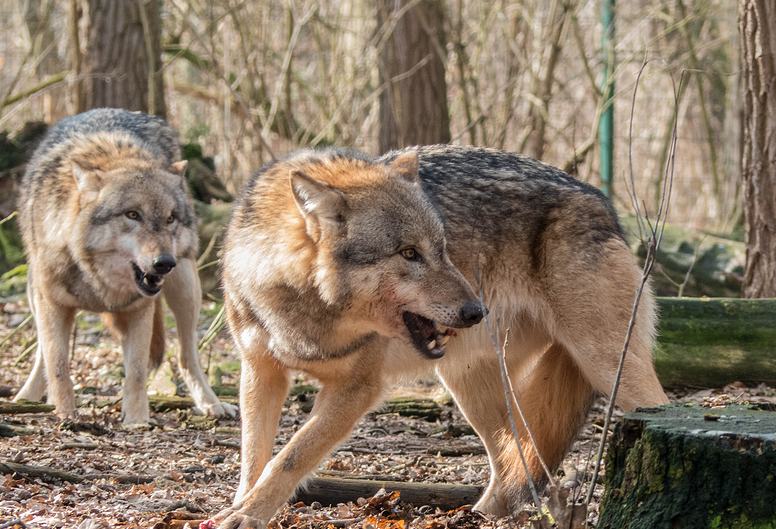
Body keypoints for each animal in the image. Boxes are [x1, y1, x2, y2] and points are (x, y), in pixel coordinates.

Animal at [12, 108, 236, 424]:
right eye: (132, 215)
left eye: (170, 218)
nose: (164, 263)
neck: (98, 281)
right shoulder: (52, 305)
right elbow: (58, 365)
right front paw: (67, 414)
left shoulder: (139, 309)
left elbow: (138, 372)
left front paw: (137, 421)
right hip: (34, 294)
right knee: (43, 354)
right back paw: (27, 398)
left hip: (186, 288)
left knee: (186, 355)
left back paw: (211, 403)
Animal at [211, 145, 668, 528]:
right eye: (409, 253)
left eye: (443, 248)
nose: (476, 311)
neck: (305, 310)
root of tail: (601, 202)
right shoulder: (260, 373)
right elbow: (254, 457)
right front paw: (240, 505)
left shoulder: (357, 388)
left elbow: (291, 456)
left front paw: (247, 514)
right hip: (471, 386)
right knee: (513, 459)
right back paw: (480, 517)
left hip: (609, 367)